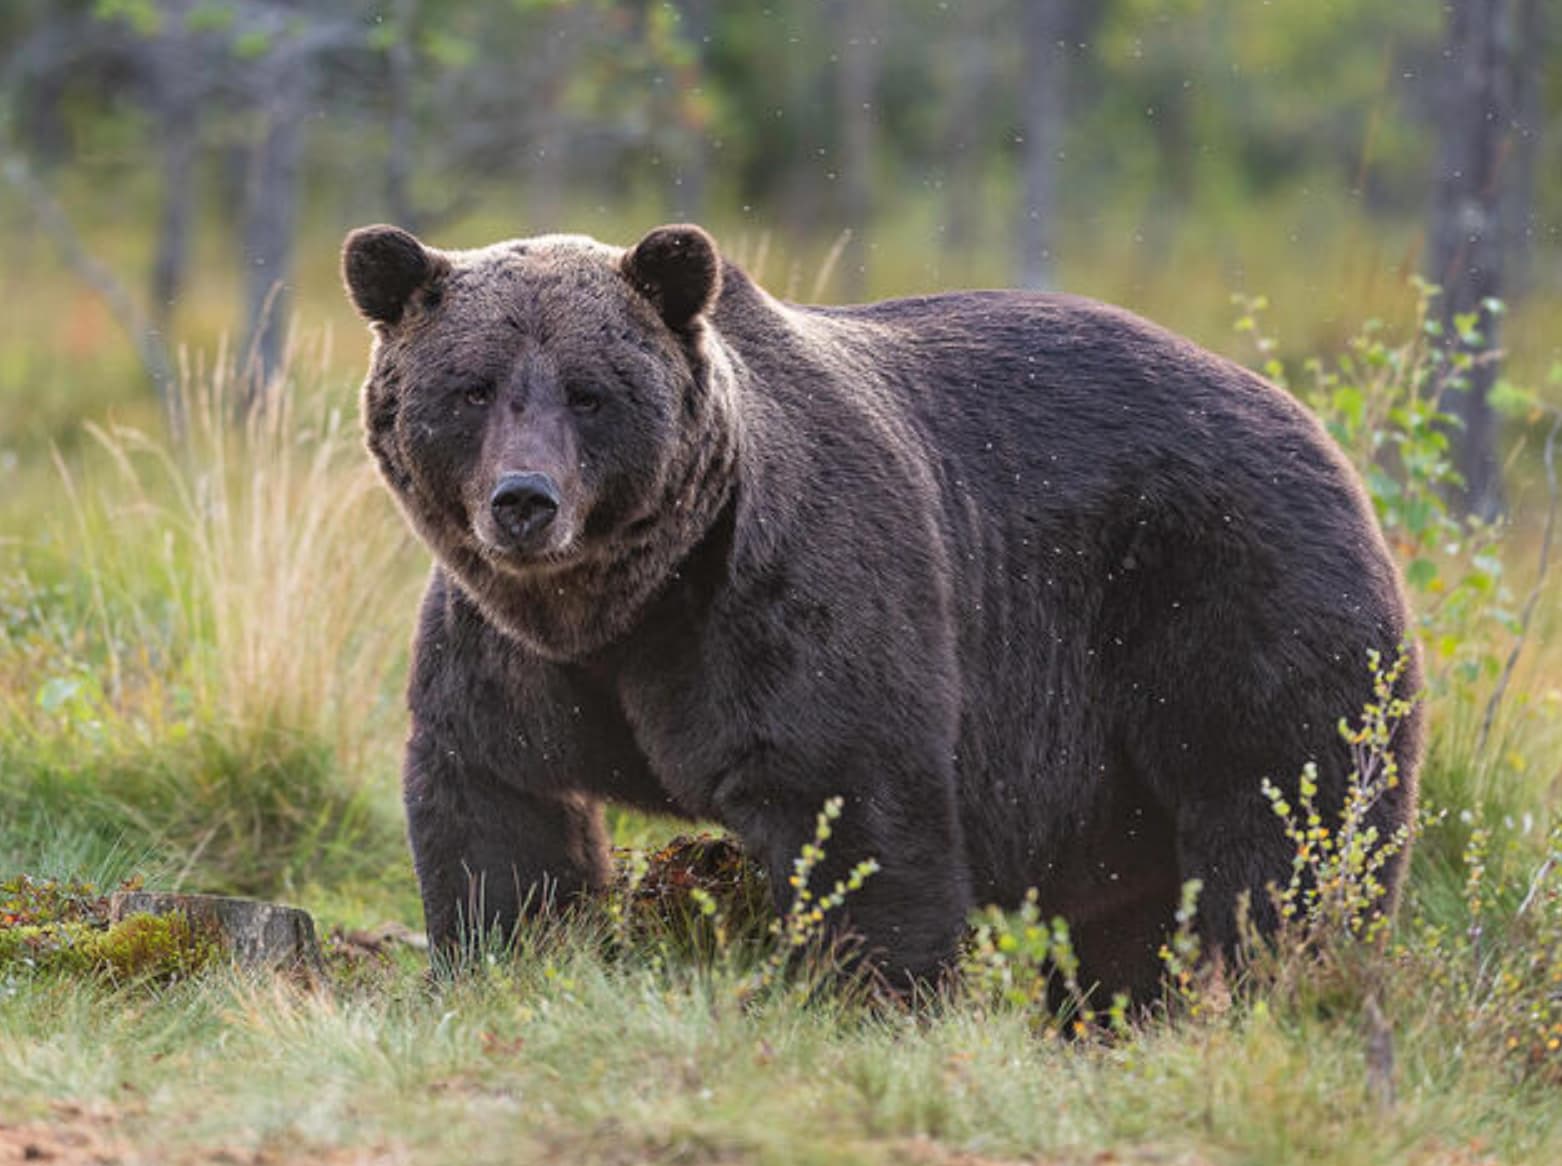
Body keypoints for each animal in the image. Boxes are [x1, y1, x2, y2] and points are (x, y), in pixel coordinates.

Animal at [345, 220, 1430, 987]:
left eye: (588, 391)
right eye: (473, 386)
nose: (524, 501)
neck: (625, 605)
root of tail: (1317, 429)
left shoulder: (785, 605)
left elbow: (855, 814)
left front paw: (872, 991)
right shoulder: (508, 653)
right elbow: (501, 816)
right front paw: (502, 954)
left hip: (1232, 596)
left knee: (1284, 823)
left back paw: (1275, 984)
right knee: (1136, 904)